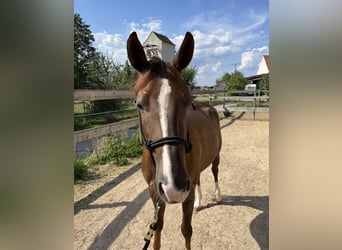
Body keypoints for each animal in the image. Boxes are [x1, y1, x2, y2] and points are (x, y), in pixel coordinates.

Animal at [127, 32, 223, 249]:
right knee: (198, 179)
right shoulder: (155, 192)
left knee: (214, 172)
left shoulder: (184, 194)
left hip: (216, 156)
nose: (174, 186)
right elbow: (157, 228)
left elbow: (186, 230)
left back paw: (218, 195)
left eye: (187, 100)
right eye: (139, 105)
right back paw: (199, 202)